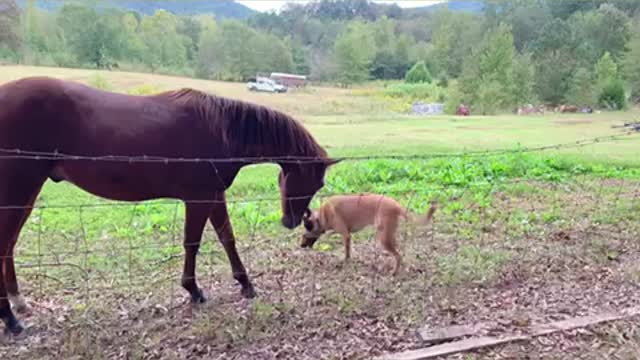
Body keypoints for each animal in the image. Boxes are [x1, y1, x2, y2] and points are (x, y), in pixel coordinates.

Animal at [0, 76, 340, 334]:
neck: (222, 129)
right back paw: (10, 319)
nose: (294, 222)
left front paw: (245, 284)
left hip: (26, 193)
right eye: (314, 182)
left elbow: (227, 238)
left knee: (9, 244)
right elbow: (192, 243)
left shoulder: (213, 195)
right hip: (18, 188)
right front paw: (194, 290)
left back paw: (18, 303)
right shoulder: (198, 197)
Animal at [300, 194, 436, 276]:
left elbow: (346, 252)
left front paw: (345, 261)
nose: (301, 246)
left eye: (303, 236)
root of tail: (396, 205)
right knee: (400, 253)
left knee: (398, 256)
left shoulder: (346, 235)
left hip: (384, 238)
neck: (322, 216)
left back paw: (394, 272)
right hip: (389, 235)